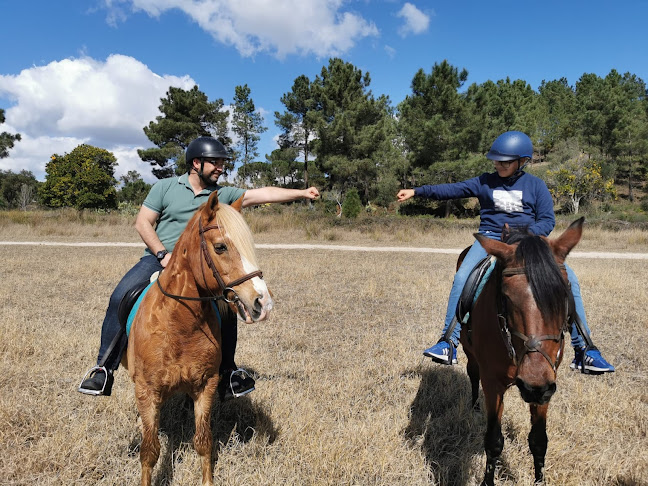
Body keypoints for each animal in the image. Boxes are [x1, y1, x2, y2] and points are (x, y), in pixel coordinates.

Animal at [123, 191, 272, 486]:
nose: (263, 302)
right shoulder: (147, 389)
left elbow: (203, 442)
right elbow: (149, 451)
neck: (179, 325)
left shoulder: (206, 385)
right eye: (220, 247)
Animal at [458, 219, 584, 486]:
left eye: (565, 295)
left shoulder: (546, 385)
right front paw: (487, 481)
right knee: (472, 373)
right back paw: (474, 407)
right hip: (469, 352)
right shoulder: (492, 384)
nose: (532, 384)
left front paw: (539, 480)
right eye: (505, 297)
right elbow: (494, 441)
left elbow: (539, 440)